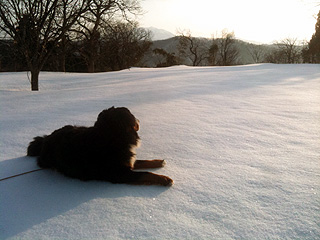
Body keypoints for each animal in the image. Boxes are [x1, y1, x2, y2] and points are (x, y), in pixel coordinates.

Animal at [26, 106, 174, 187]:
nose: (138, 121)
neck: (111, 137)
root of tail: (47, 138)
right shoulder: (119, 173)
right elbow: (146, 173)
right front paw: (164, 179)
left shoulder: (127, 161)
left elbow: (142, 162)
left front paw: (157, 162)